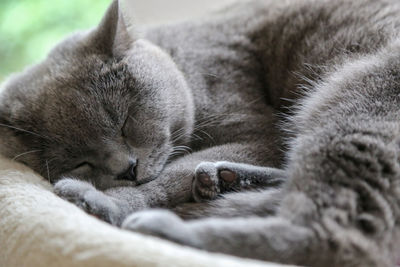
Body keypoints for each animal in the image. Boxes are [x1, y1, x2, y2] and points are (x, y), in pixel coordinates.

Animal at [0, 0, 400, 266]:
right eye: (81, 160)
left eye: (124, 120)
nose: (126, 168)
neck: (183, 63)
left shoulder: (257, 135)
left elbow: (170, 175)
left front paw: (101, 201)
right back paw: (222, 180)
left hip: (355, 98)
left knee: (339, 237)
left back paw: (165, 224)